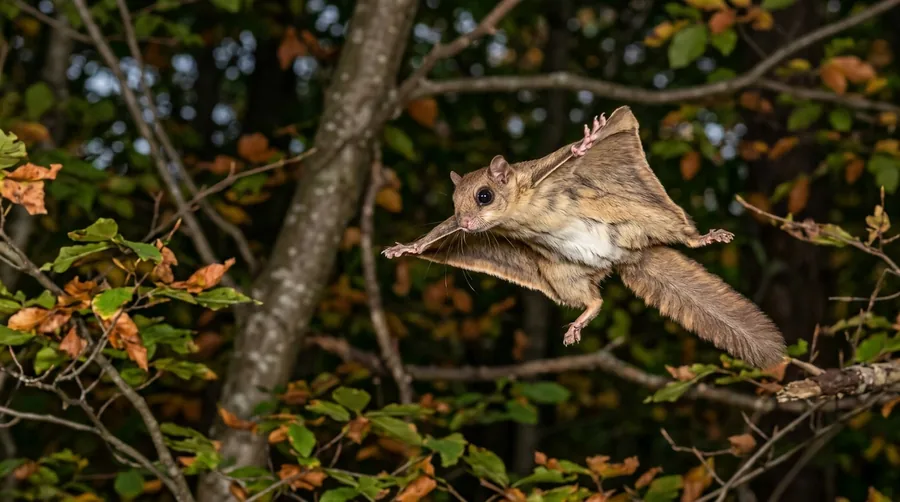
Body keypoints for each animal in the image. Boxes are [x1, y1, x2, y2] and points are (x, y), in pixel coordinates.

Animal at [383, 106, 785, 369]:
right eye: (454, 203)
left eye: (485, 195)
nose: (464, 224)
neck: (519, 206)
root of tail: (627, 257)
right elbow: (436, 234)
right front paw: (408, 247)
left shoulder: (541, 173)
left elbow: (568, 155)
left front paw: (584, 143)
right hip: (563, 274)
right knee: (595, 300)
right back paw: (581, 320)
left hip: (648, 215)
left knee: (683, 237)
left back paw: (703, 238)